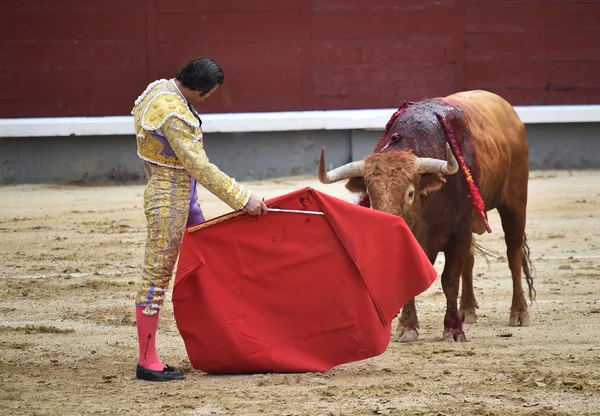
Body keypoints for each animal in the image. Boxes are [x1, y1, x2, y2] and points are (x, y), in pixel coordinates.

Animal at [318, 88, 536, 342]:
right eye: (369, 194)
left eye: (410, 193)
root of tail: (507, 109)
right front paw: (407, 327)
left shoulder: (459, 233)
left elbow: (449, 279)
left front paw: (452, 330)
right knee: (470, 261)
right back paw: (467, 311)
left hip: (515, 202)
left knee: (513, 254)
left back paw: (519, 313)